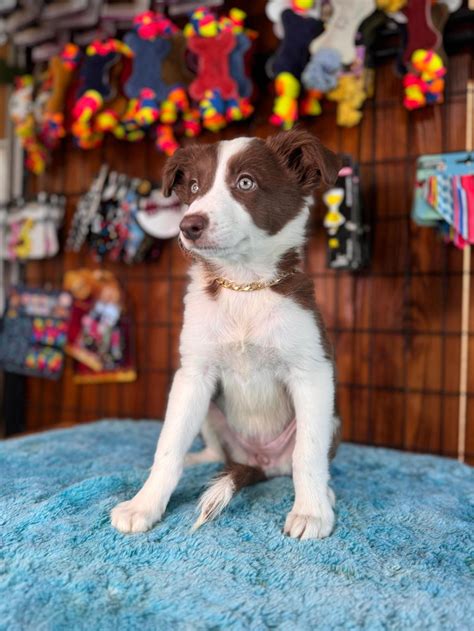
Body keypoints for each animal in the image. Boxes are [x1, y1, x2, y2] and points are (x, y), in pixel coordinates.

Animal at [111, 128, 340, 540]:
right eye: (195, 187)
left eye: (245, 183)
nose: (188, 225)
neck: (243, 285)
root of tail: (261, 462)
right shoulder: (192, 375)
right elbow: (167, 446)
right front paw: (144, 505)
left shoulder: (313, 371)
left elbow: (308, 453)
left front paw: (311, 512)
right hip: (208, 411)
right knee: (215, 450)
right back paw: (200, 458)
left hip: (332, 421)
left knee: (301, 458)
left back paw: (324, 493)